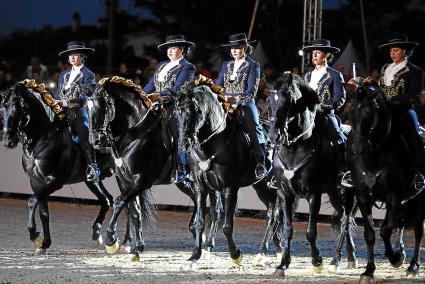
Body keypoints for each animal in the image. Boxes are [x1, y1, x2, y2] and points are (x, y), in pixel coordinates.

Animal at [0, 80, 146, 255]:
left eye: (18, 108)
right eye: (2, 108)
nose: (8, 141)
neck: (44, 137)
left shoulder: (54, 182)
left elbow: (31, 201)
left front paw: (35, 235)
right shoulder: (36, 183)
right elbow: (43, 213)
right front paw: (44, 244)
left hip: (121, 178)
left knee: (129, 207)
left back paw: (125, 243)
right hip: (92, 180)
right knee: (108, 200)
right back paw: (100, 235)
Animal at [172, 82, 278, 266]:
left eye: (195, 110)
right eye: (176, 112)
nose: (184, 143)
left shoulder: (230, 188)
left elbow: (227, 226)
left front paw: (235, 254)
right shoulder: (200, 187)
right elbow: (200, 222)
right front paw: (196, 254)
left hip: (270, 185)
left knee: (274, 214)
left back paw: (264, 253)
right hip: (260, 186)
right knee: (274, 212)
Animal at [266, 72, 356, 276]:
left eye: (289, 100)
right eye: (269, 100)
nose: (274, 136)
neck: (295, 148)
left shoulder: (313, 194)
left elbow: (311, 231)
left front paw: (317, 261)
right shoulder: (284, 193)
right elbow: (287, 229)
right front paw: (282, 264)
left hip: (347, 192)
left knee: (346, 220)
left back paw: (336, 260)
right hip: (334, 192)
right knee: (343, 218)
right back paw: (349, 258)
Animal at [346, 82, 422, 282]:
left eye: (370, 113)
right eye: (352, 111)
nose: (358, 148)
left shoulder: (394, 196)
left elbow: (385, 230)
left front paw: (395, 258)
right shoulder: (363, 197)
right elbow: (370, 234)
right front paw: (368, 271)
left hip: (418, 199)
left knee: (418, 230)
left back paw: (413, 265)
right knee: (402, 224)